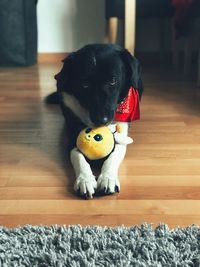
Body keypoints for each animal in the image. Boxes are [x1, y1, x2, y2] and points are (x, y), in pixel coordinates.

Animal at [47, 44, 143, 199]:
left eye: (113, 80)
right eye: (84, 84)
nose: (101, 120)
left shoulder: (122, 135)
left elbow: (114, 155)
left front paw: (108, 178)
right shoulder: (72, 135)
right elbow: (78, 156)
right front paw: (85, 180)